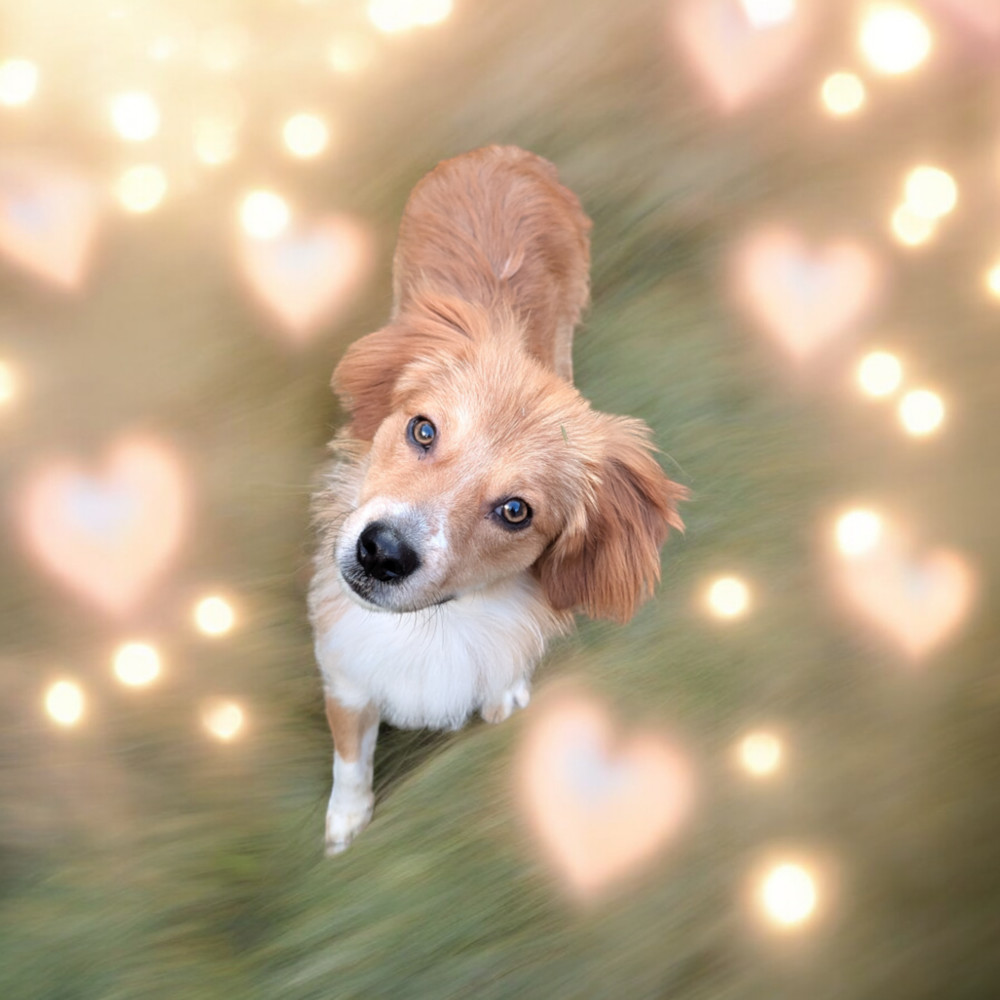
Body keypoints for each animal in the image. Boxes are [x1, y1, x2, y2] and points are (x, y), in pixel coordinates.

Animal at [308, 146, 684, 852]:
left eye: (516, 511)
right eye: (422, 430)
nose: (382, 553)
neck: (439, 624)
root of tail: (500, 155)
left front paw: (504, 693)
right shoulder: (346, 674)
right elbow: (349, 760)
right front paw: (347, 820)